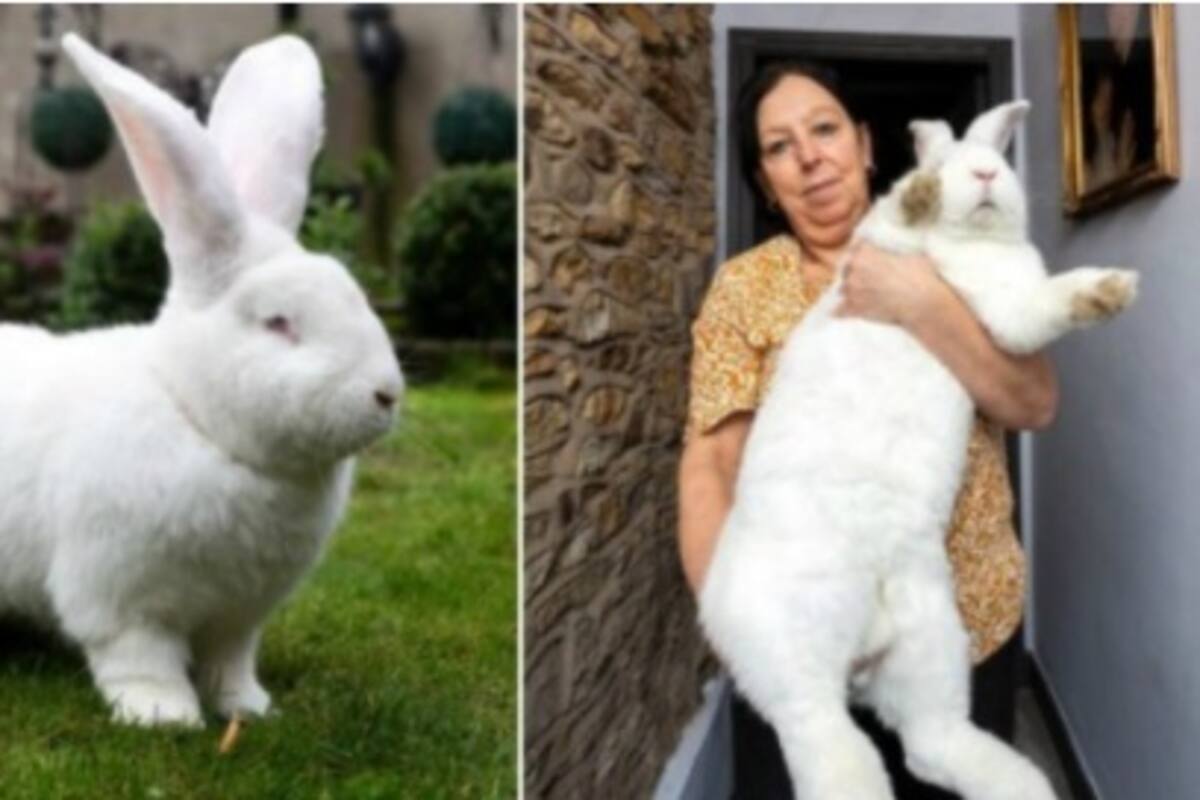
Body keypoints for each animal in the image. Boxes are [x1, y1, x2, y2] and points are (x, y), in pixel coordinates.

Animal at [0, 33, 403, 728]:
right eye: (278, 323)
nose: (386, 394)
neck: (195, 417)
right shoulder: (122, 598)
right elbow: (142, 659)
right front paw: (165, 717)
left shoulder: (239, 615)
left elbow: (230, 662)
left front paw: (249, 709)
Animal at [698, 100, 1136, 800]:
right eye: (946, 160)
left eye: (994, 158)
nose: (984, 174)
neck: (963, 248)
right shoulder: (890, 251)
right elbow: (910, 222)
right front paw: (923, 194)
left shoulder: (1004, 310)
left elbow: (1042, 305)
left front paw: (1112, 291)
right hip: (797, 664)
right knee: (832, 747)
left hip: (929, 648)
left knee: (932, 745)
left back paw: (1026, 786)